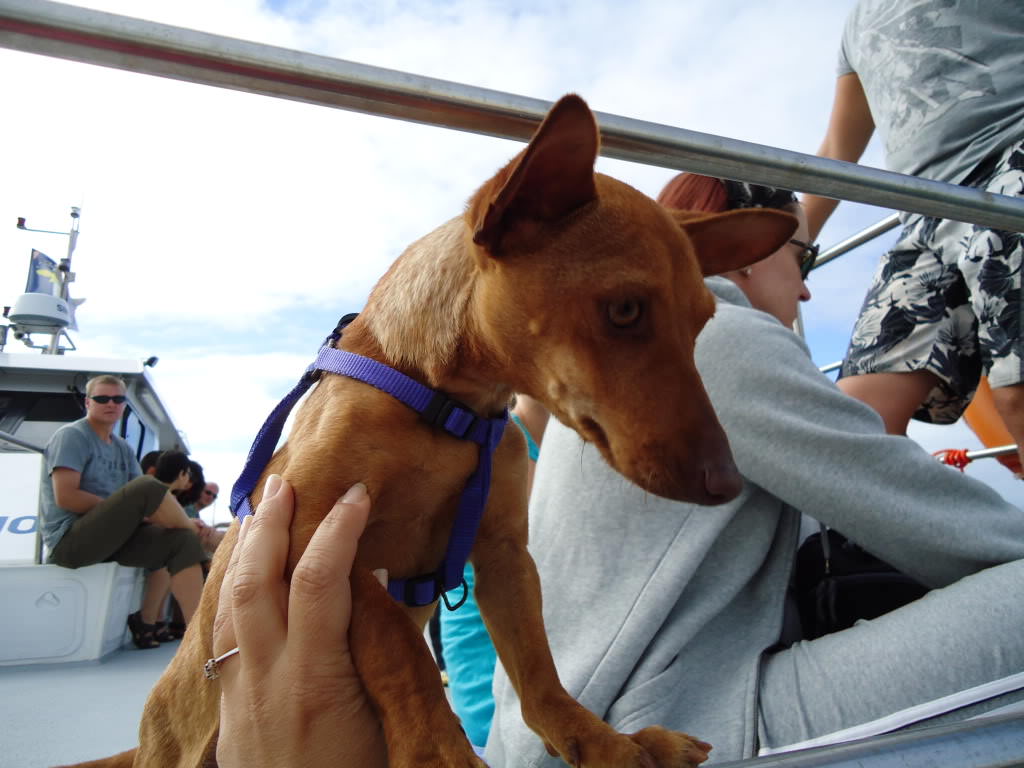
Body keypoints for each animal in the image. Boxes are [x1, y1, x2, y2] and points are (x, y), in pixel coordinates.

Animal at [60, 94, 796, 768]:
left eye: (702, 324)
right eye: (623, 310)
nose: (727, 481)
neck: (450, 408)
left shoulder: (503, 553)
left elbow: (539, 677)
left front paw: (606, 744)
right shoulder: (309, 532)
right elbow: (395, 637)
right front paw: (438, 749)